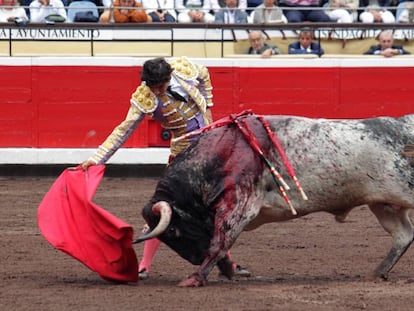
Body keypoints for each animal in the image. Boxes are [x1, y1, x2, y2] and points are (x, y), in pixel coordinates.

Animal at [134, 111, 414, 288]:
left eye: (175, 232)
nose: (194, 258)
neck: (222, 152)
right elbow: (220, 244)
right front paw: (225, 270)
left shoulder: (240, 205)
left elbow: (219, 242)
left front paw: (194, 278)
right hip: (384, 204)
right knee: (403, 235)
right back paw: (377, 272)